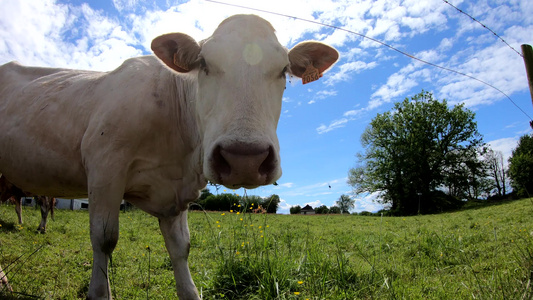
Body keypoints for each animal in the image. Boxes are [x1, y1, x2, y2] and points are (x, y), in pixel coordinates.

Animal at [0, 15, 336, 298]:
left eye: (283, 71)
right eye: (204, 64)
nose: (244, 159)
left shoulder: (177, 193)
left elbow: (181, 248)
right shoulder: (105, 167)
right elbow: (104, 238)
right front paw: (99, 291)